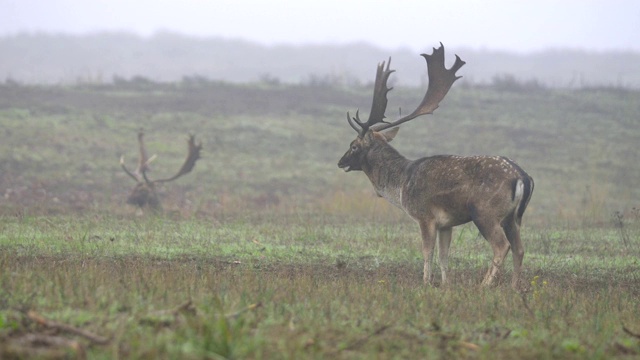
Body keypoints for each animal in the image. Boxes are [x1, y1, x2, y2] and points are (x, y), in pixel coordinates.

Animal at [340, 43, 536, 288]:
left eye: (354, 146)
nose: (340, 161)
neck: (401, 186)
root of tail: (522, 177)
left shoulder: (425, 216)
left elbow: (427, 252)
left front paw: (425, 282)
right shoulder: (446, 224)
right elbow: (444, 255)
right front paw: (445, 284)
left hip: (485, 212)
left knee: (502, 246)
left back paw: (484, 285)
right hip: (514, 217)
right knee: (520, 248)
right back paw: (513, 287)